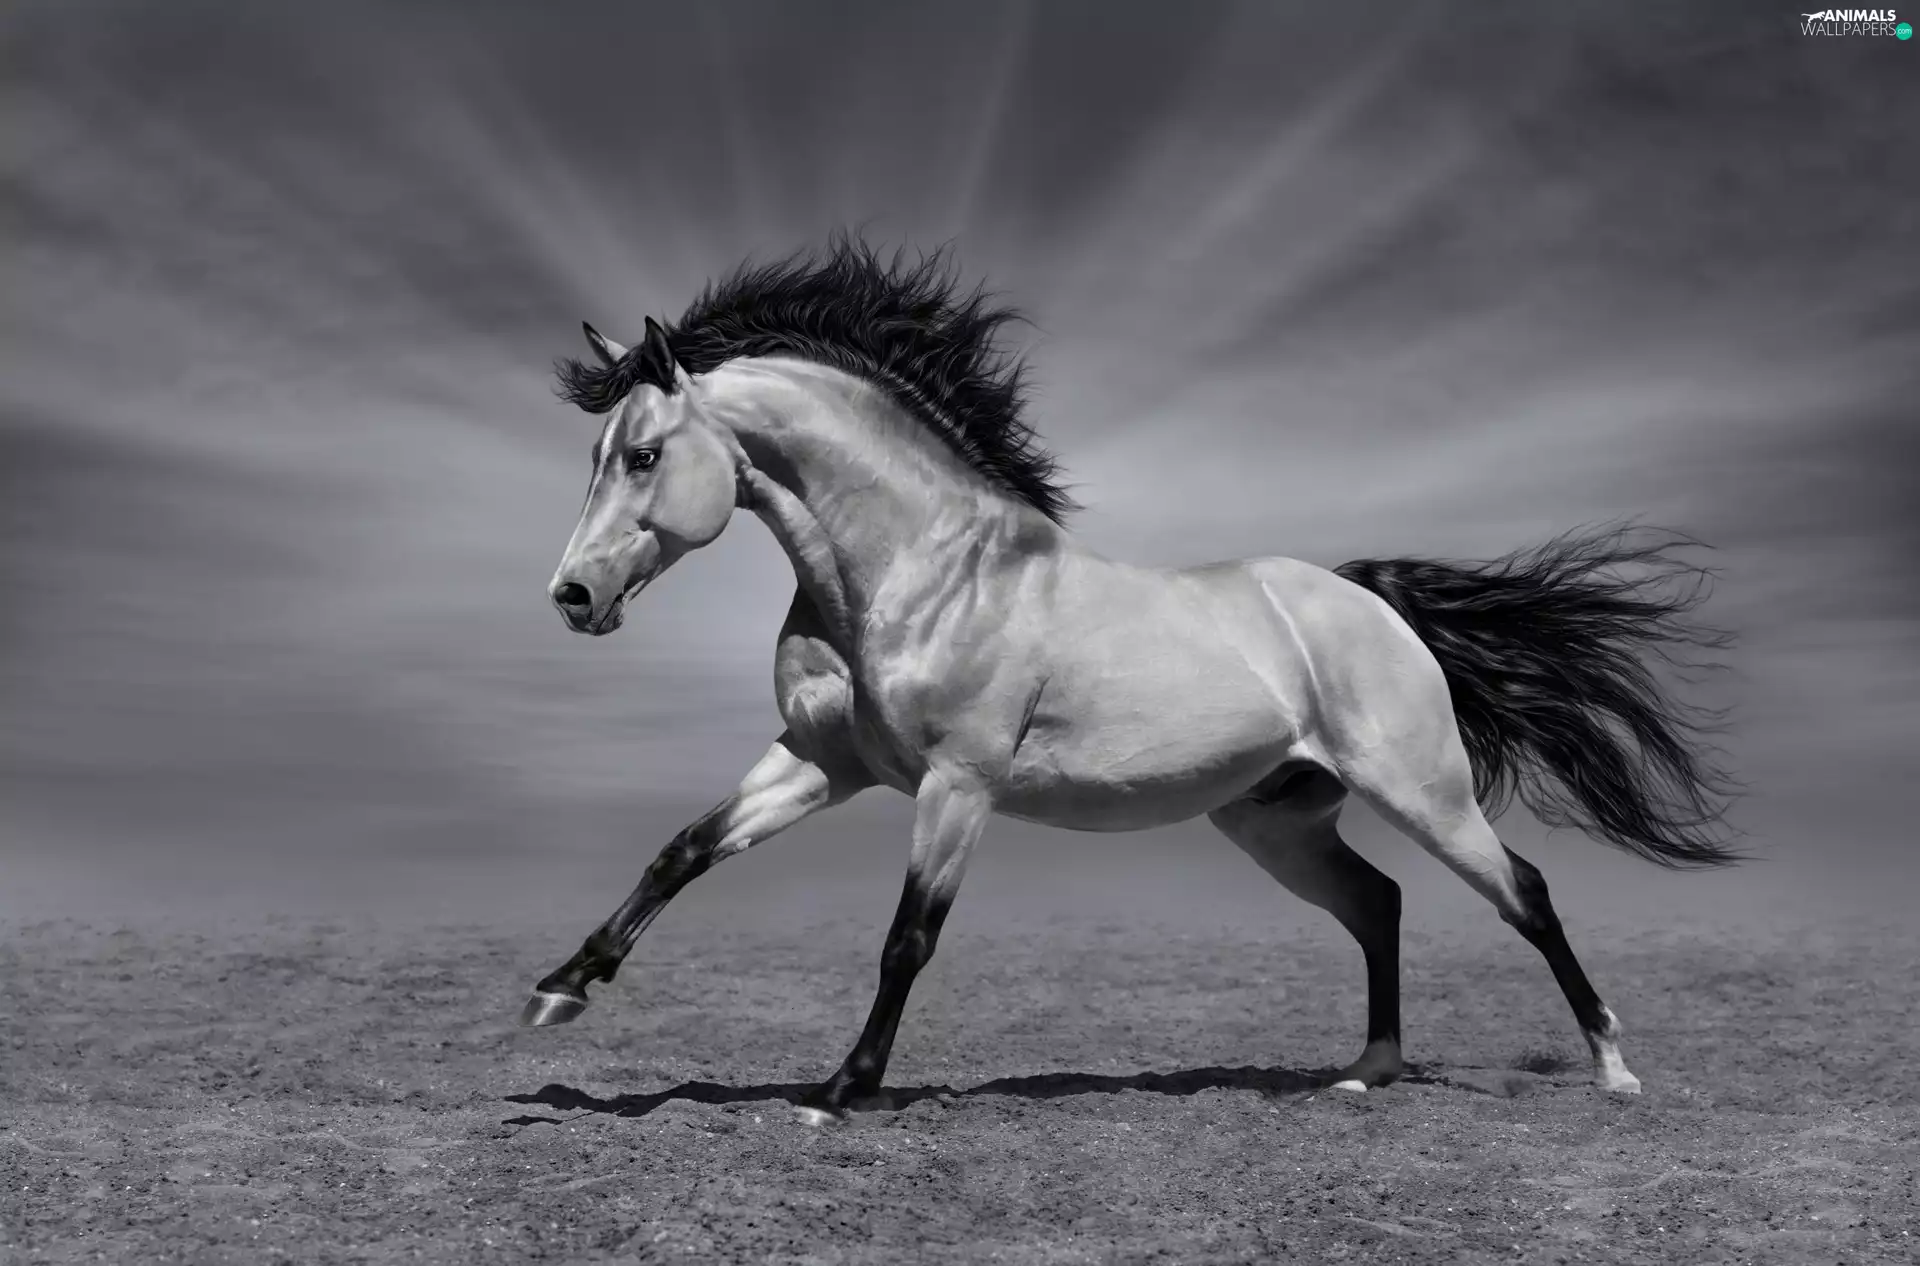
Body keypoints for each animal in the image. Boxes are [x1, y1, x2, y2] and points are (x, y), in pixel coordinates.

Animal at [519, 234, 1739, 1125]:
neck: (920, 571)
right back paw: (1366, 1071)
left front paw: (839, 1092)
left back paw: (1613, 1070)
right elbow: (682, 850)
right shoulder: (823, 763)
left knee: (1522, 892)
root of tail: (1371, 603)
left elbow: (909, 936)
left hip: (1422, 792)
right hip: (1276, 821)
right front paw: (559, 990)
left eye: (642, 455)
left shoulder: (957, 787)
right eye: (596, 457)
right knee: (1378, 903)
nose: (572, 597)